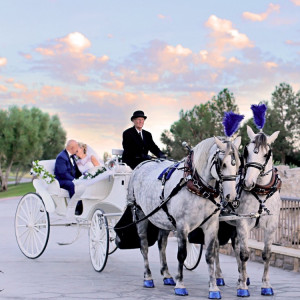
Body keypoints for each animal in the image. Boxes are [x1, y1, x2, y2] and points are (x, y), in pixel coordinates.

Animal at [126, 136, 241, 298]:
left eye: (238, 164)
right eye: (222, 163)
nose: (231, 197)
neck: (197, 186)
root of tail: (142, 165)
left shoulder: (211, 225)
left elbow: (210, 255)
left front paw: (213, 288)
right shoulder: (182, 225)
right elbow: (181, 254)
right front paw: (180, 285)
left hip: (164, 220)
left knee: (162, 245)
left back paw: (167, 275)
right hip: (140, 213)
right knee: (144, 246)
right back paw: (148, 277)